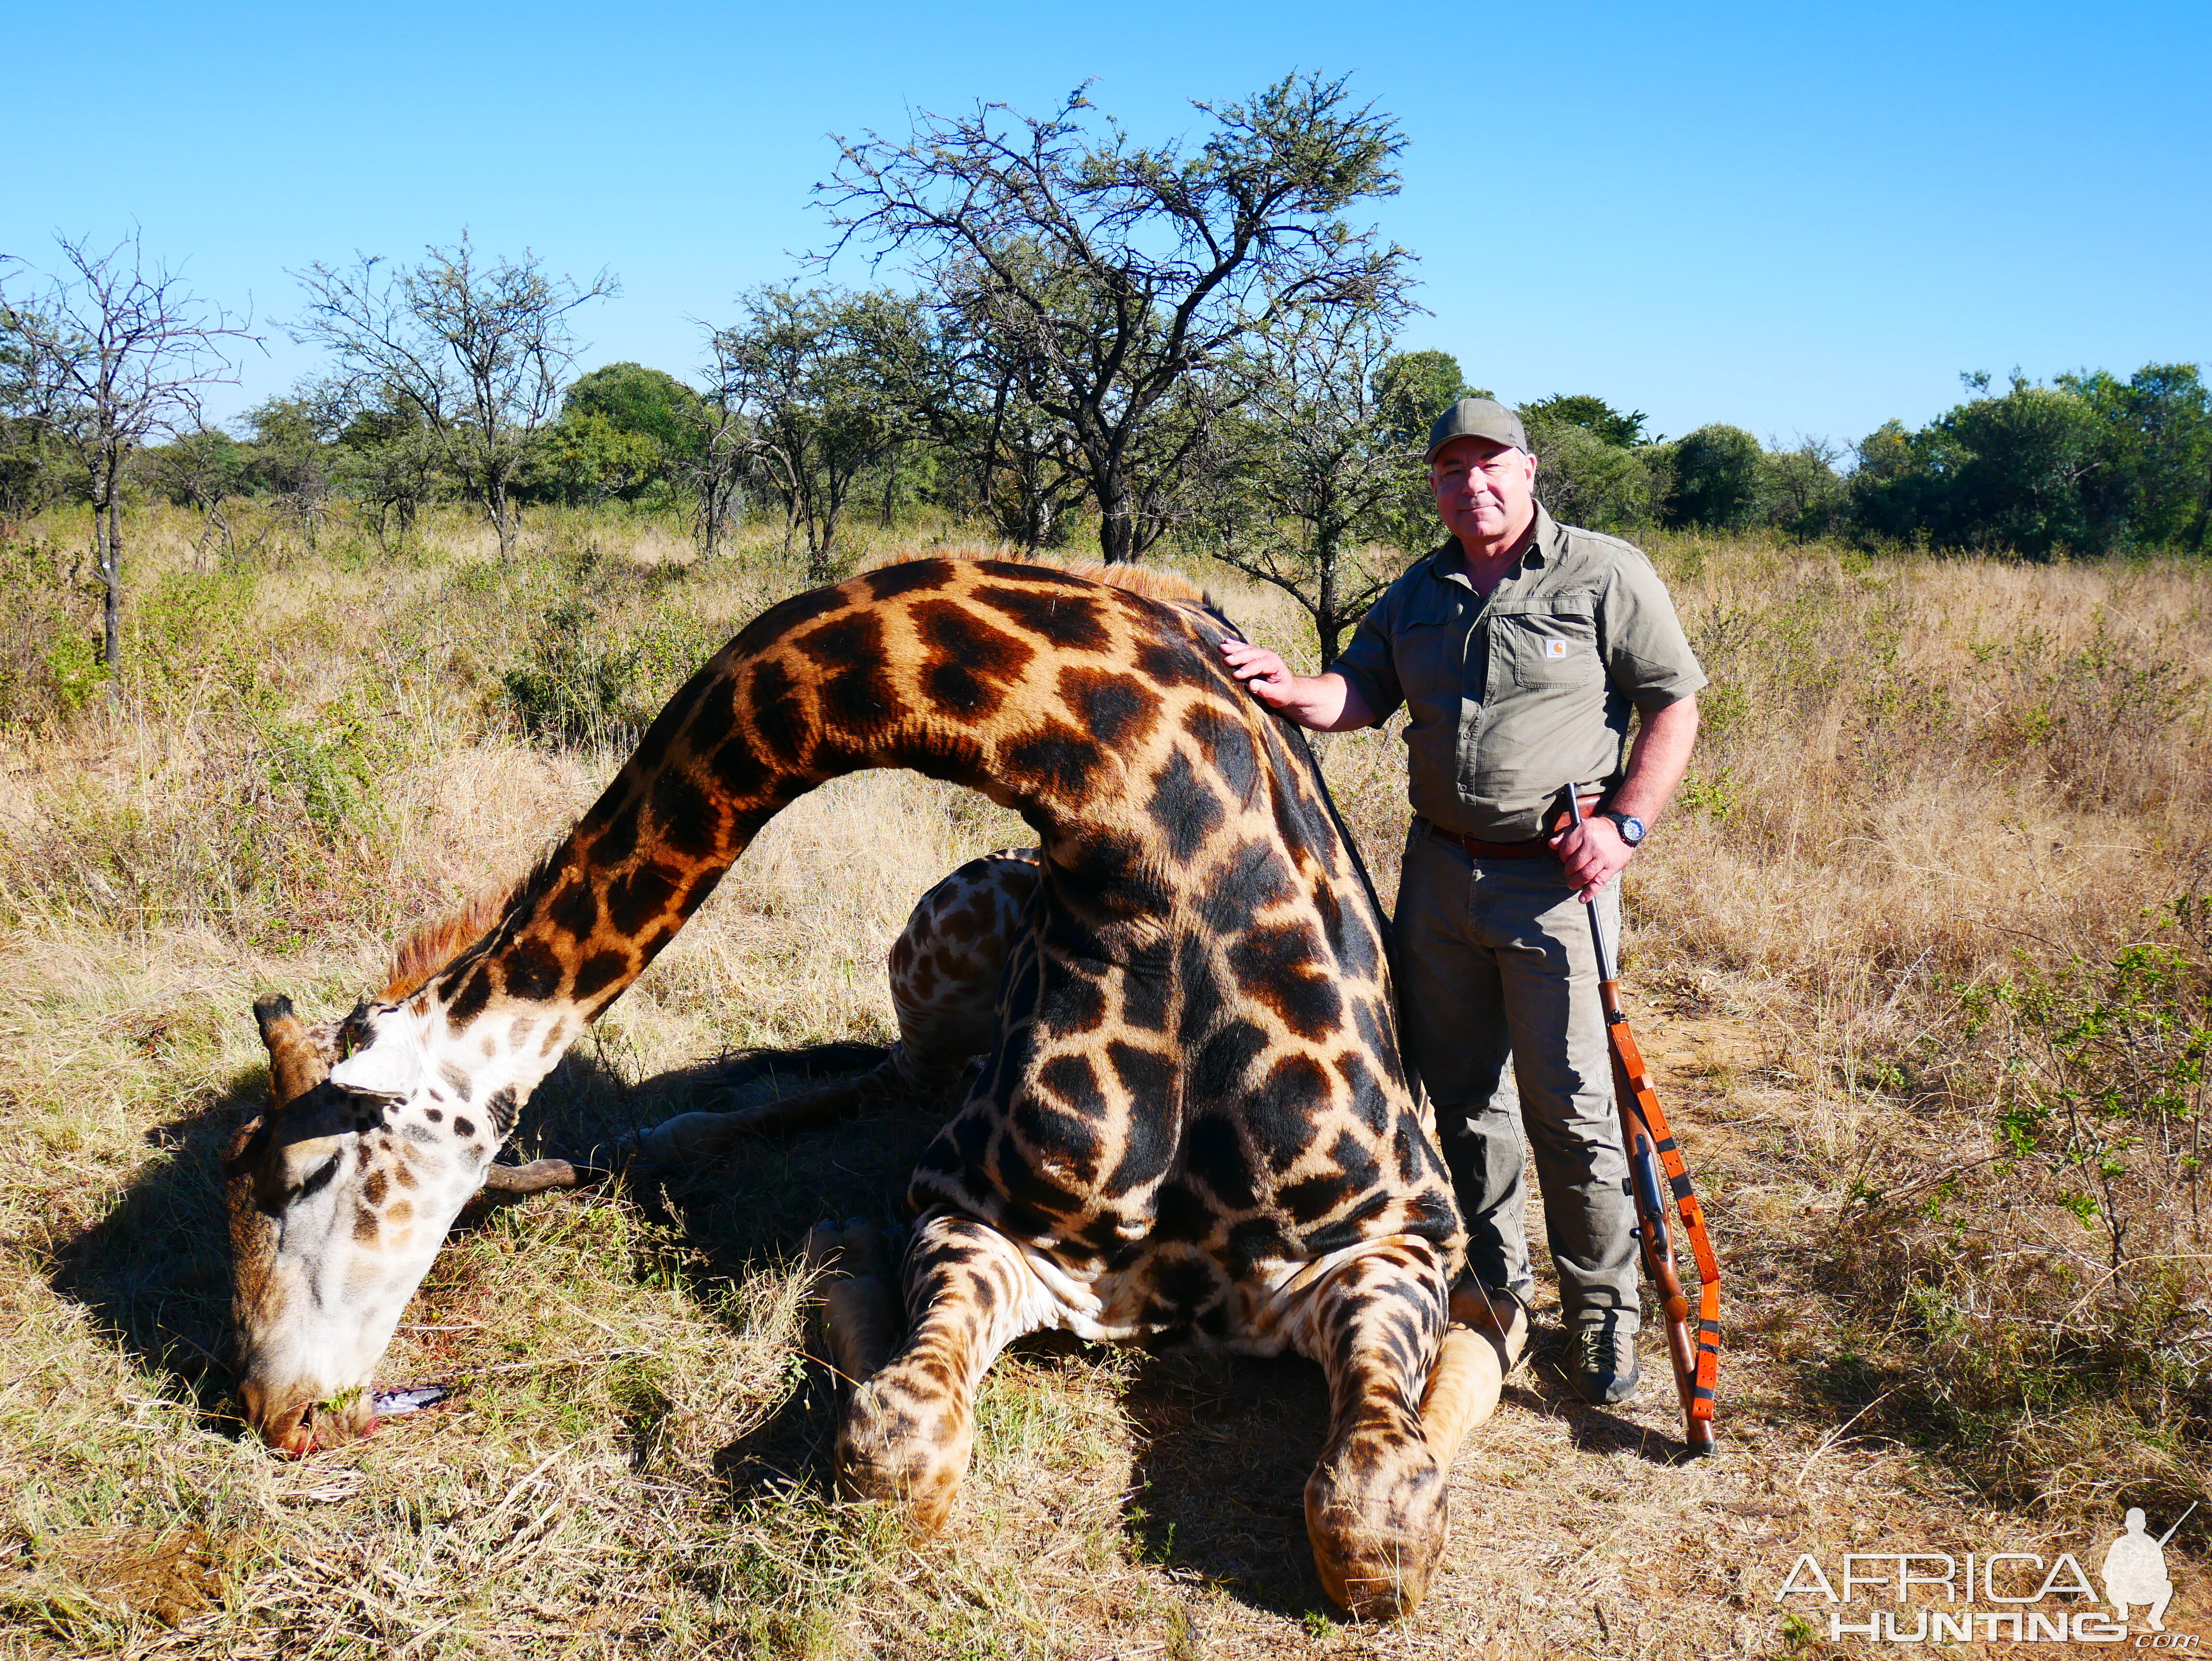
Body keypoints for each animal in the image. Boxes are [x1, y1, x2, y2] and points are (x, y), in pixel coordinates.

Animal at [229, 562, 1504, 1628]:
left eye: (301, 1173)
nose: (273, 1413)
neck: (1145, 850)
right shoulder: (981, 1215)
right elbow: (893, 1441)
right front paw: (838, 1256)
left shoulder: (1397, 1243)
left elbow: (1384, 1515)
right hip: (942, 944)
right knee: (856, 1081)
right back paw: (666, 1143)